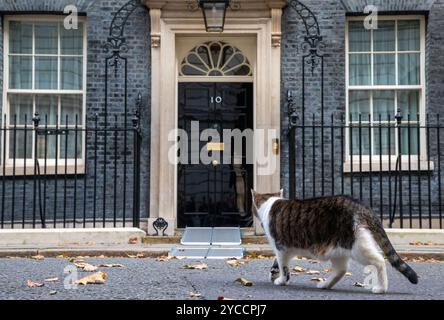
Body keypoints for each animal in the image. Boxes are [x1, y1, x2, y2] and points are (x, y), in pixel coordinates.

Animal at [251, 190, 418, 296]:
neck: (269, 204)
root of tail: (359, 205)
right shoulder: (288, 249)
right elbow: (277, 263)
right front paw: (274, 272)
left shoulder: (281, 248)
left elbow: (283, 266)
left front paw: (281, 280)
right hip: (337, 249)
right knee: (341, 270)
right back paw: (325, 285)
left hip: (356, 246)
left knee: (379, 261)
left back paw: (381, 288)